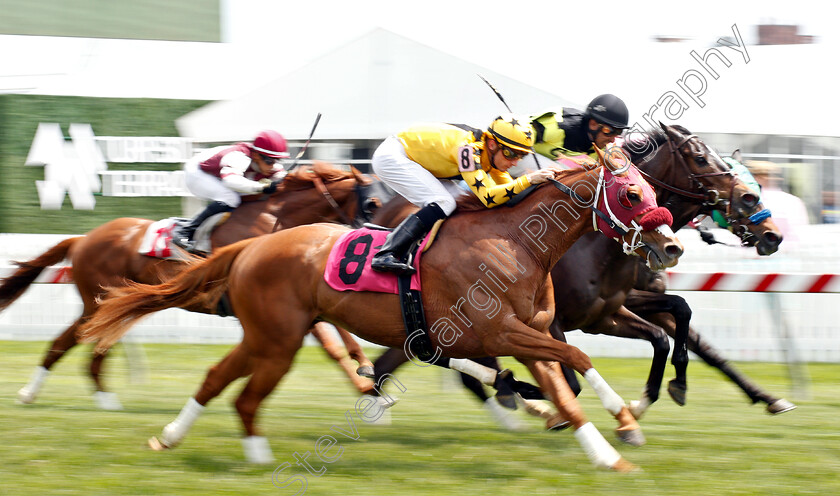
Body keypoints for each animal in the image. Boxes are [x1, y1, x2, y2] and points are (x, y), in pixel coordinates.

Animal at [3, 161, 378, 408]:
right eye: (373, 203)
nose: (368, 241)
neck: (277, 220)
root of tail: (83, 239)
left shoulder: (305, 295)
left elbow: (340, 337)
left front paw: (367, 374)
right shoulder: (283, 299)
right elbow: (332, 346)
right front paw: (368, 391)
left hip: (109, 303)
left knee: (90, 345)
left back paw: (100, 397)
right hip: (97, 302)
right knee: (66, 342)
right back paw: (34, 394)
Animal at [77, 156, 684, 472]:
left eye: (651, 187)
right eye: (631, 195)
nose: (672, 247)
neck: (518, 242)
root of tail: (253, 245)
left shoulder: (527, 333)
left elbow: (565, 384)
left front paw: (611, 441)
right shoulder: (501, 332)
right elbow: (574, 357)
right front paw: (623, 421)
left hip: (267, 336)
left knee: (216, 378)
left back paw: (172, 438)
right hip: (277, 340)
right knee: (243, 393)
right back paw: (252, 450)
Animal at [370, 124, 792, 426]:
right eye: (701, 158)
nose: (771, 232)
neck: (595, 243)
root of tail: (383, 209)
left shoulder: (605, 313)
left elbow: (681, 331)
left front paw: (761, 397)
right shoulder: (562, 319)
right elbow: (571, 378)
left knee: (398, 359)